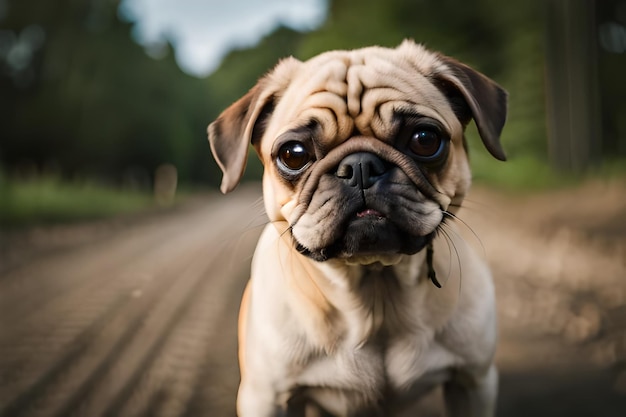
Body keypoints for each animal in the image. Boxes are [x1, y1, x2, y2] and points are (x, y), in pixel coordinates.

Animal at [207, 39, 504, 416]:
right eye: (293, 154)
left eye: (424, 139)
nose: (360, 166)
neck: (375, 292)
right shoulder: (266, 398)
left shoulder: (472, 382)